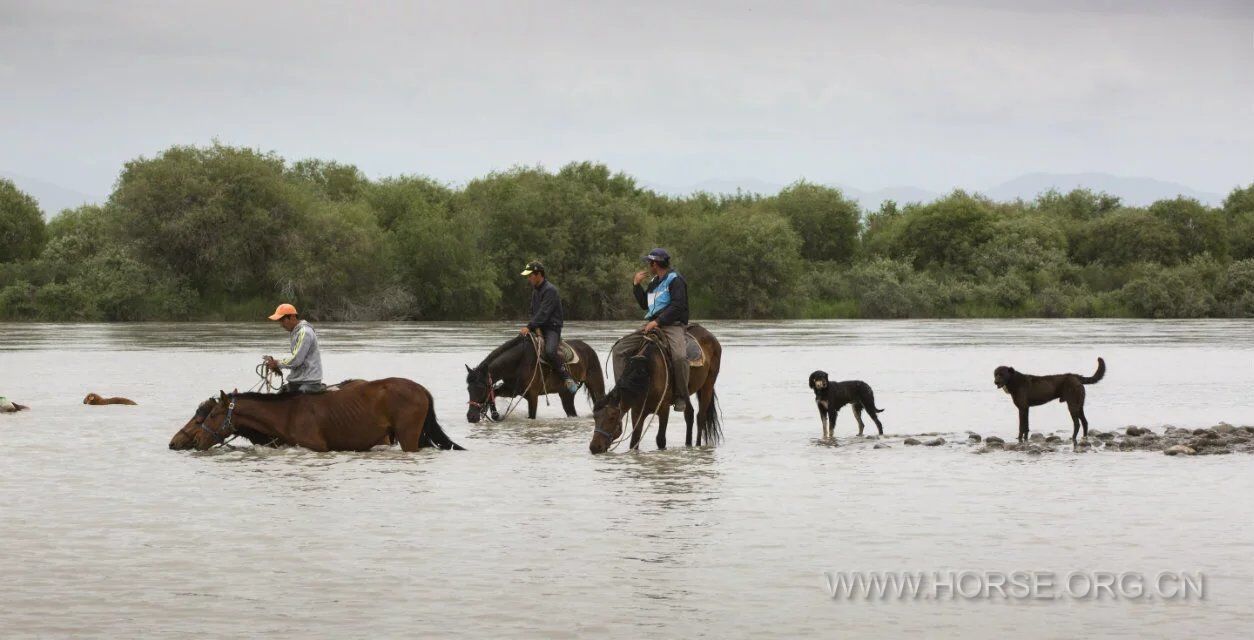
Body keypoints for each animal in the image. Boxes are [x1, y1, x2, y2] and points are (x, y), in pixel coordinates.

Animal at [471, 331, 606, 421]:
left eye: (481, 389)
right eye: (469, 389)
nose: (470, 417)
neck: (518, 362)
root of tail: (588, 348)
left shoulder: (532, 396)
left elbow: (531, 416)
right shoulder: (511, 390)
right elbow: (493, 392)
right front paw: (495, 414)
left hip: (596, 384)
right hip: (566, 394)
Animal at [589, 323, 727, 454]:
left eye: (612, 417)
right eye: (595, 417)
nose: (594, 447)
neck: (647, 374)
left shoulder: (664, 409)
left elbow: (660, 440)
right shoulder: (637, 410)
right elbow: (635, 440)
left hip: (707, 385)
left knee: (700, 417)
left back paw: (697, 446)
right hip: (686, 391)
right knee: (689, 414)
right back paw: (688, 445)